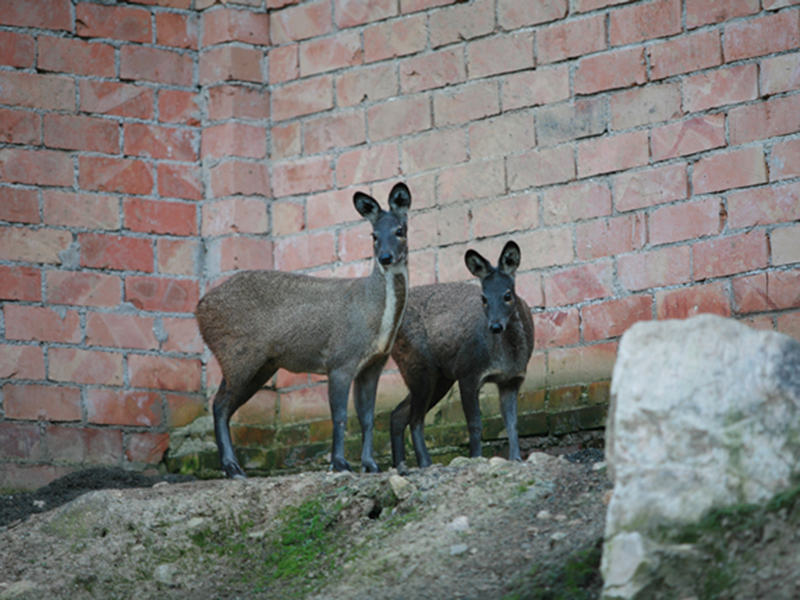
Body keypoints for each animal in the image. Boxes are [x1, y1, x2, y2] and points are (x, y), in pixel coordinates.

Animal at [195, 183, 412, 478]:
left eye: (400, 230)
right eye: (374, 235)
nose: (386, 257)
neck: (373, 317)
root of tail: (199, 309)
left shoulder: (373, 364)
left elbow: (367, 418)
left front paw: (370, 464)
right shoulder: (340, 358)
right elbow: (340, 416)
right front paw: (339, 463)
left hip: (261, 364)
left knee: (224, 406)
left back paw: (233, 467)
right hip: (237, 353)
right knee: (219, 405)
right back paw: (232, 467)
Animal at [390, 239, 536, 474]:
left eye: (507, 295)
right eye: (483, 298)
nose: (495, 326)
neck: (507, 358)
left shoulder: (512, 380)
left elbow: (512, 423)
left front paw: (516, 459)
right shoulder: (469, 372)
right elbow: (475, 424)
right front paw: (476, 458)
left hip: (440, 377)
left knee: (398, 414)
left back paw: (401, 465)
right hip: (417, 365)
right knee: (415, 419)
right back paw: (425, 463)